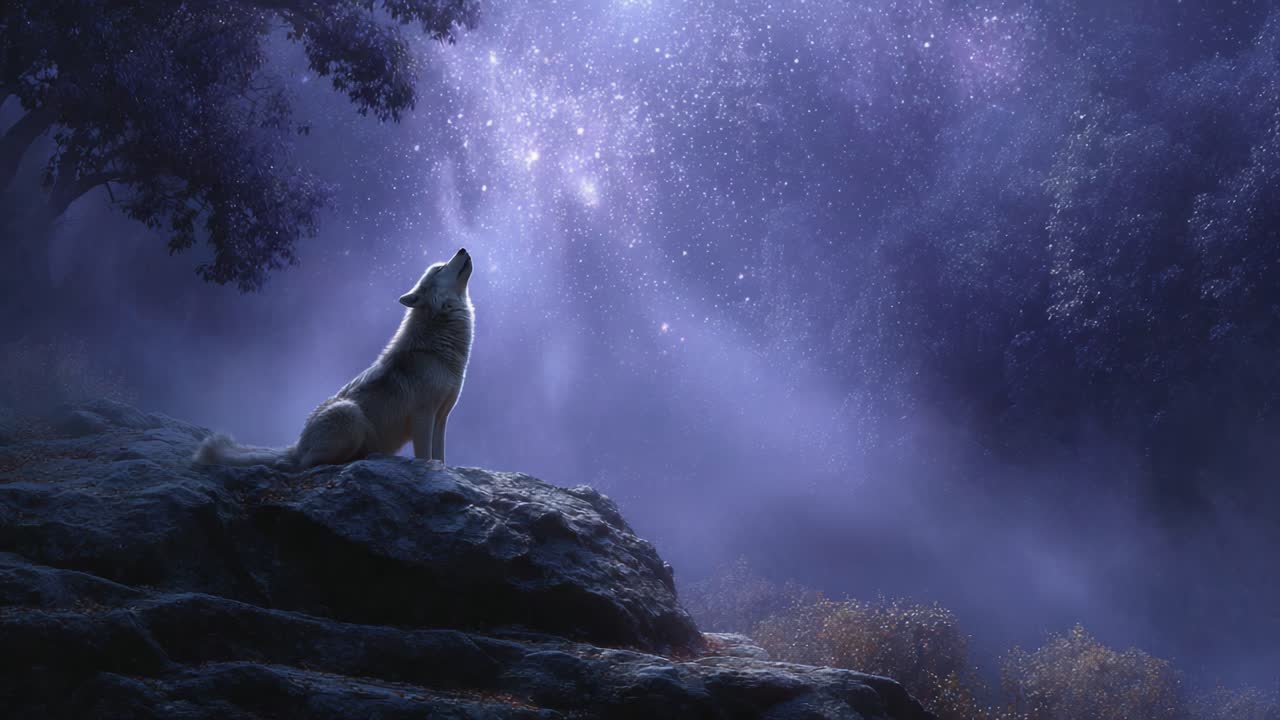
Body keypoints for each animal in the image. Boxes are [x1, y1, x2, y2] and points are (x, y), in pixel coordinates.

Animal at [194, 247, 474, 470]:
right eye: (440, 269)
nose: (461, 249)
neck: (438, 346)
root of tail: (298, 443)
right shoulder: (423, 416)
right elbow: (426, 456)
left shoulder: (442, 417)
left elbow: (440, 455)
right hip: (350, 414)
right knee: (303, 464)